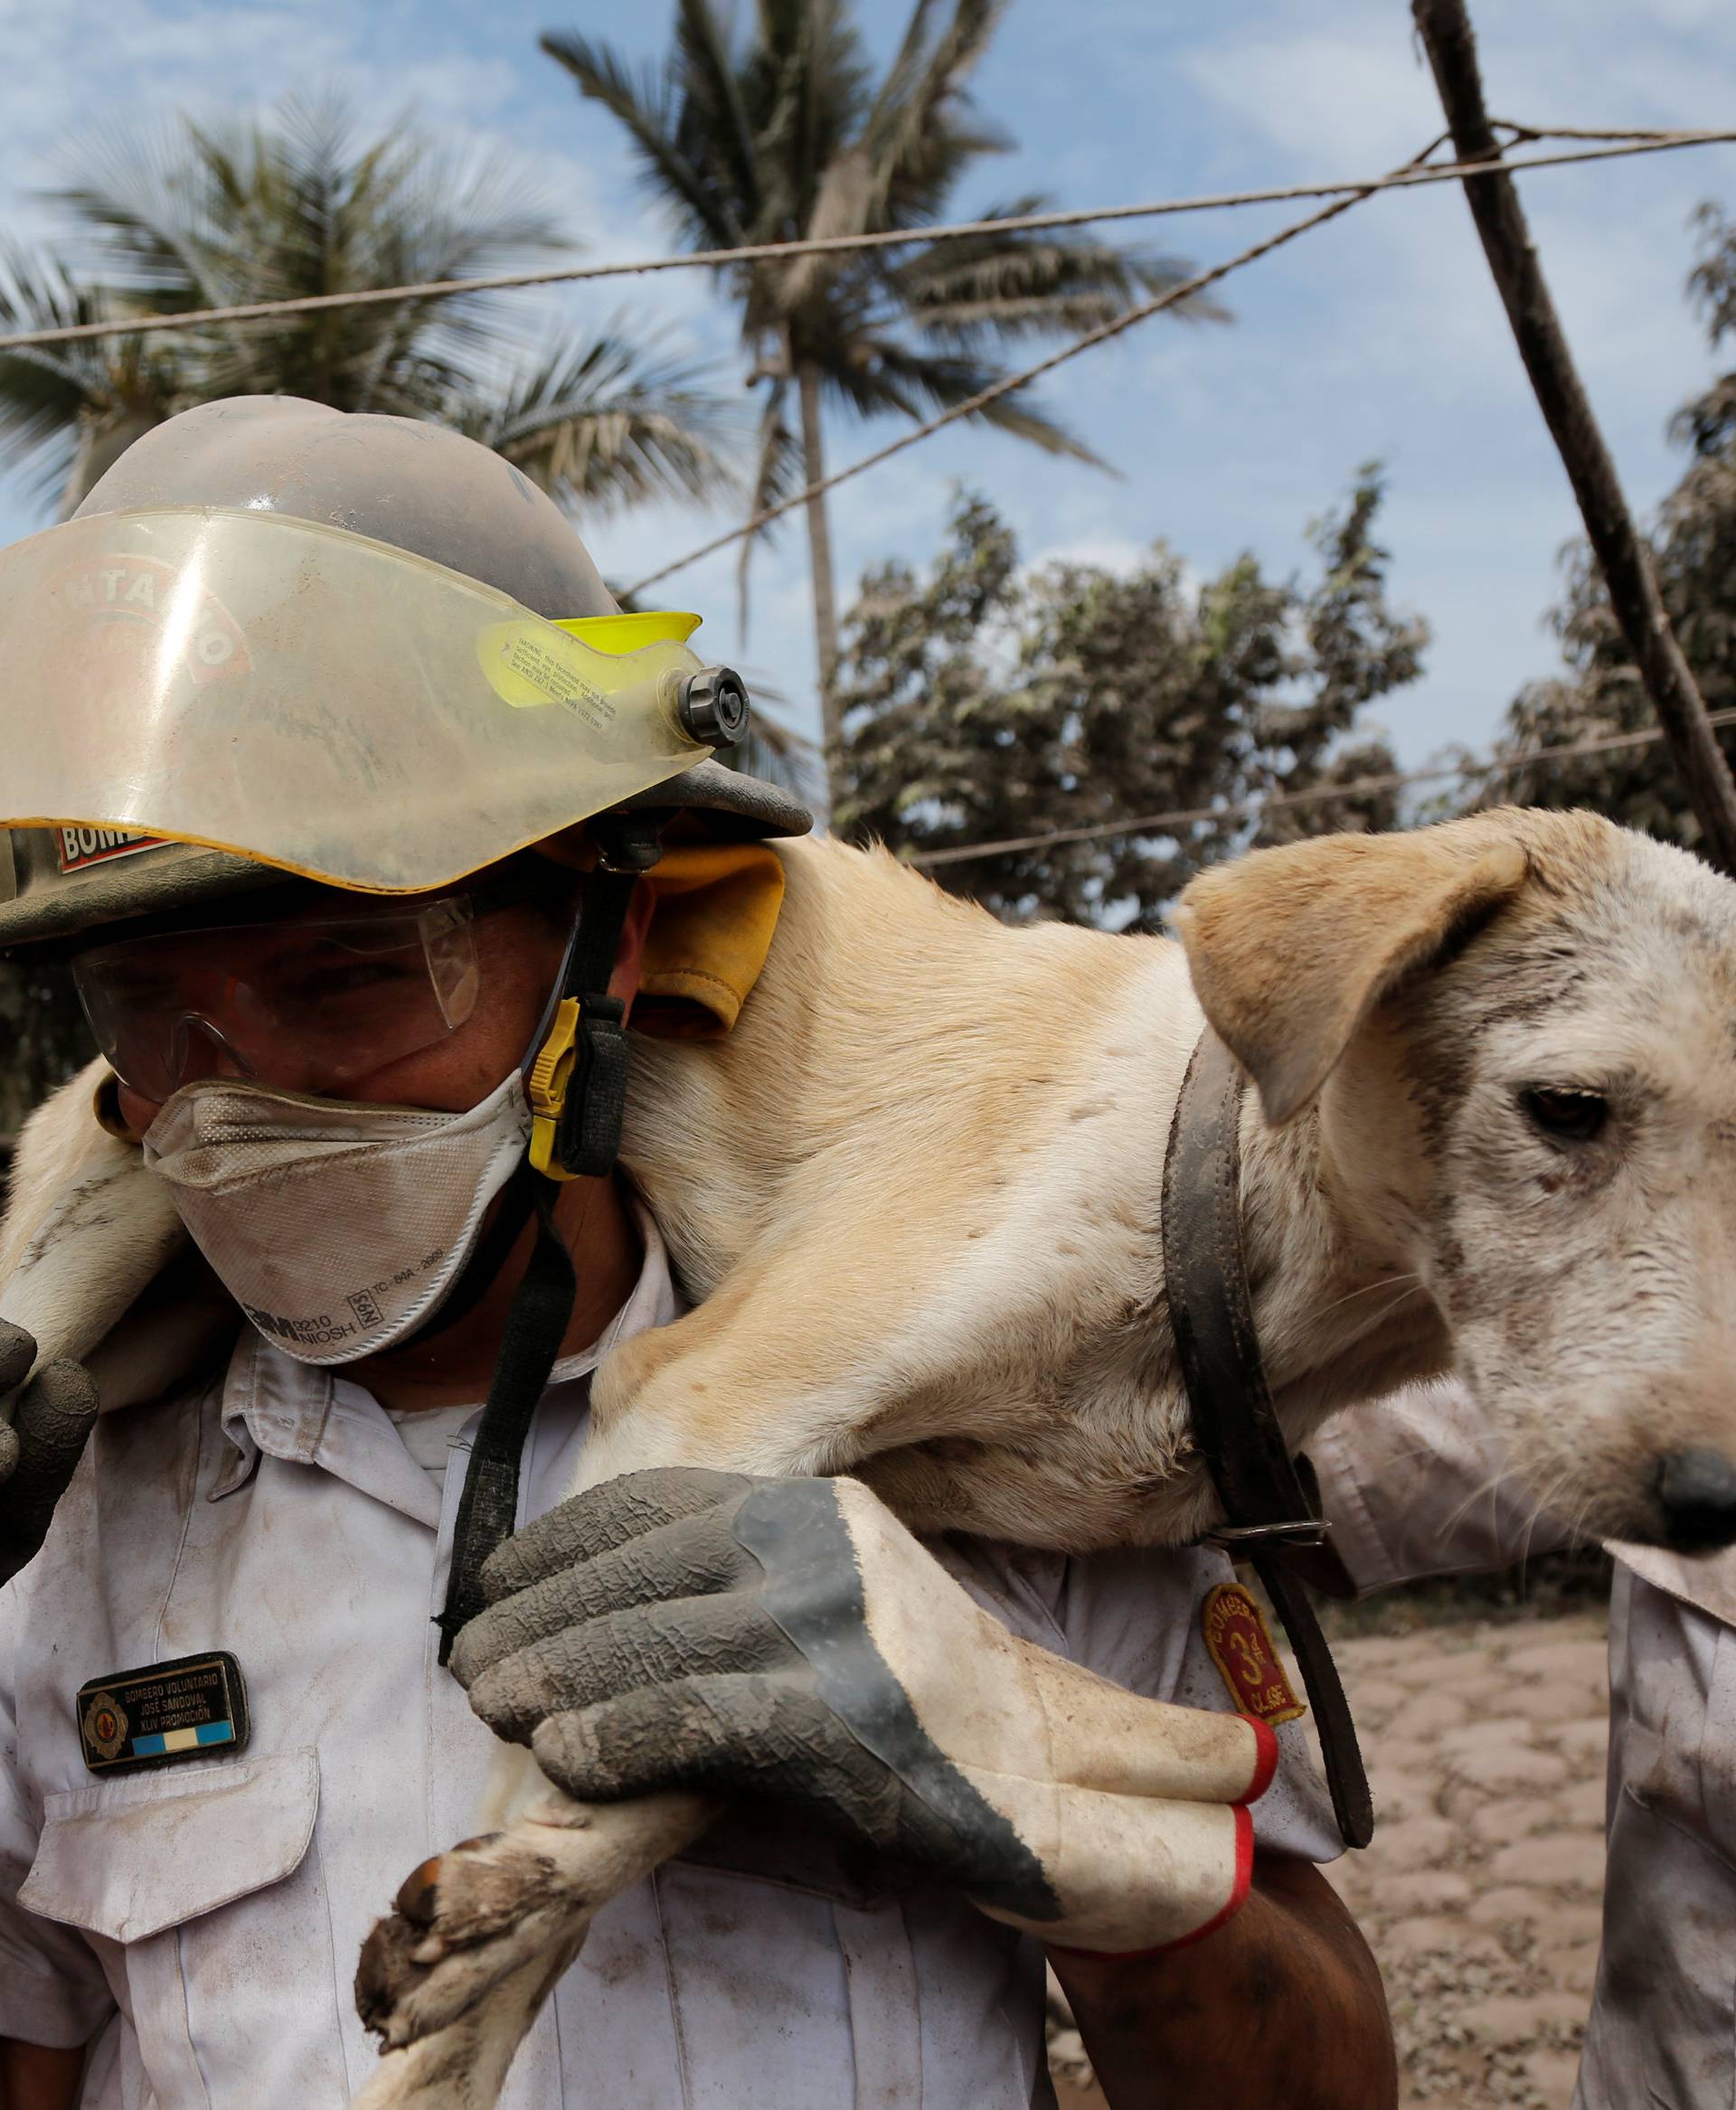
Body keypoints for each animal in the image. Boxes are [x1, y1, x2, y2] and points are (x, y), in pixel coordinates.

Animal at [3, 810, 1736, 2110]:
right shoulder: (710, 1386)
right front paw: (463, 2008)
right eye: (1566, 1107)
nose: (1713, 1498)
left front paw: (515, 1894)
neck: (1218, 1202)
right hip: (94, 1237)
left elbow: (681, 1739)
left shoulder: (789, 1528)